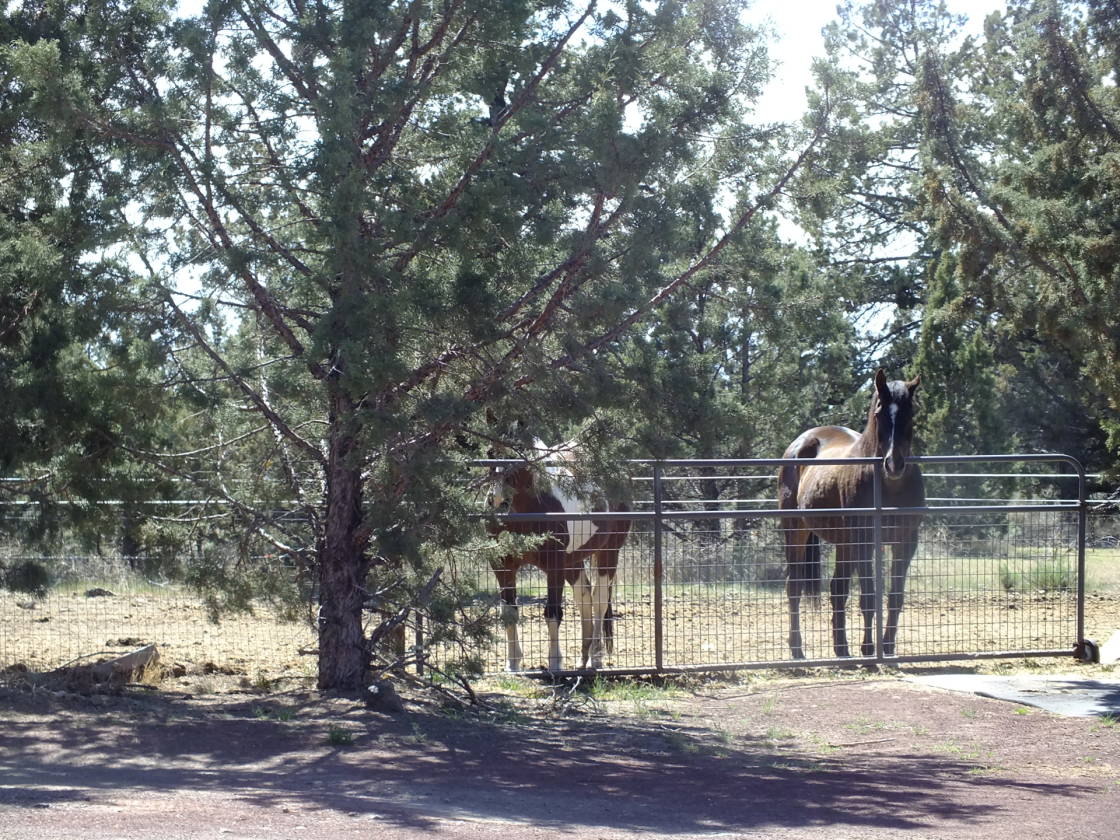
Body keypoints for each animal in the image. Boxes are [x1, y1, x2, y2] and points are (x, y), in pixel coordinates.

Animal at [488, 441, 630, 671]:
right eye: (490, 453)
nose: (498, 500)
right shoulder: (503, 565)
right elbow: (509, 613)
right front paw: (513, 664)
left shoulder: (554, 565)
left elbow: (553, 613)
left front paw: (554, 663)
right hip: (573, 561)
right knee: (584, 596)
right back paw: (583, 657)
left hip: (608, 553)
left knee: (599, 600)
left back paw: (596, 657)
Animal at [778, 369, 924, 660]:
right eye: (879, 412)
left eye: (910, 412)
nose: (894, 464)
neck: (890, 486)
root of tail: (801, 442)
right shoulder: (865, 541)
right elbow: (868, 596)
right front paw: (869, 649)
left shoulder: (905, 542)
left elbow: (895, 597)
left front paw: (888, 648)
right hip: (796, 530)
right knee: (794, 587)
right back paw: (797, 649)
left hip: (844, 542)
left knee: (837, 589)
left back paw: (842, 648)